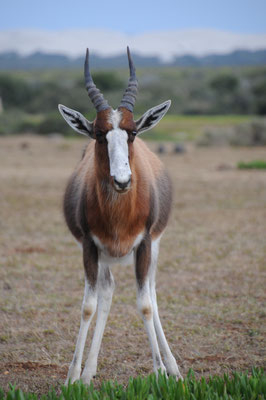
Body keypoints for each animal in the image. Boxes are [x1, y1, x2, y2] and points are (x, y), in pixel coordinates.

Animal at [58, 47, 183, 384]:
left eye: (132, 132)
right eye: (99, 134)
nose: (123, 180)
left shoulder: (145, 244)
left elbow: (145, 305)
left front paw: (159, 372)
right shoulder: (89, 246)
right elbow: (89, 306)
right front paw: (73, 377)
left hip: (155, 247)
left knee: (151, 291)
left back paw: (173, 367)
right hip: (104, 257)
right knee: (107, 291)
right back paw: (89, 372)